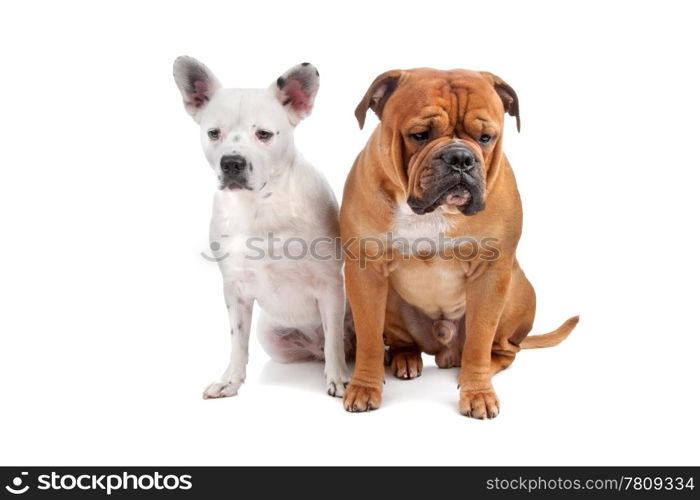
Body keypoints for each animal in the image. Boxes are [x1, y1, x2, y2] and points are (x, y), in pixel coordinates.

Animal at [174, 54, 350, 398]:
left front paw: (338, 378)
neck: (260, 205)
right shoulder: (235, 291)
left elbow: (335, 339)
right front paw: (230, 380)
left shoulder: (330, 287)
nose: (232, 162)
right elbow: (237, 341)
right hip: (272, 335)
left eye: (264, 134)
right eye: (213, 133)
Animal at [340, 67, 580, 418]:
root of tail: (442, 349)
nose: (460, 157)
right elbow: (369, 339)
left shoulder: (491, 274)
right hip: (393, 303)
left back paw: (471, 368)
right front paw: (364, 387)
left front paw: (478, 392)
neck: (433, 212)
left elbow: (479, 341)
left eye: (486, 137)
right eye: (419, 135)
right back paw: (405, 359)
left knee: (504, 350)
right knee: (402, 341)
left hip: (515, 293)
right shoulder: (365, 273)